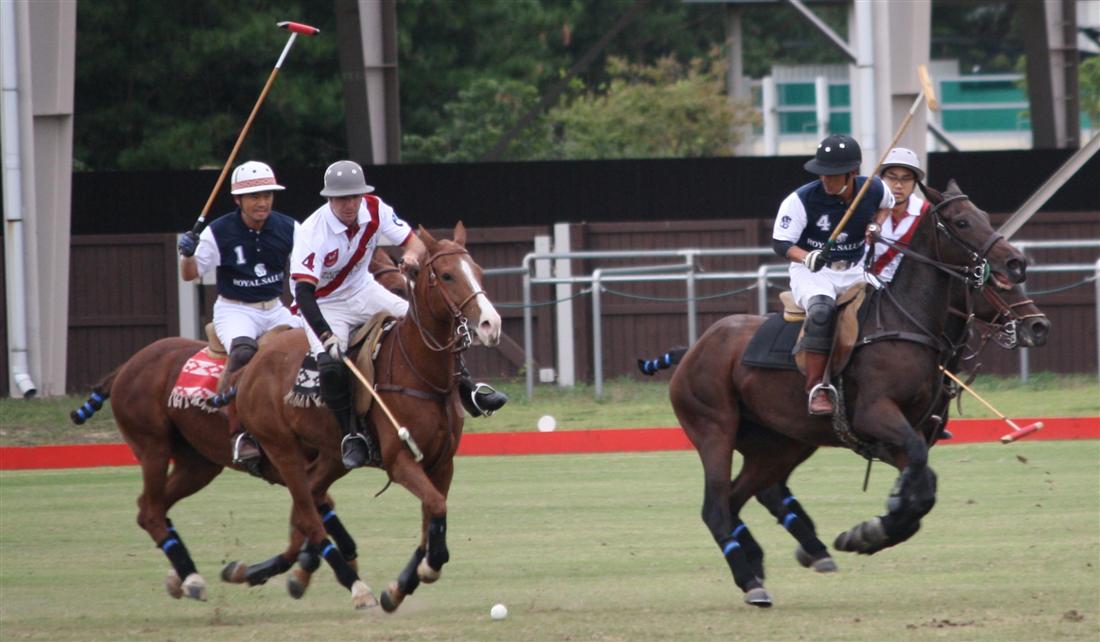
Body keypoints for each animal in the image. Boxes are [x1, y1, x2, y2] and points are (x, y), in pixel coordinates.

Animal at [68, 251, 410, 601]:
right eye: (397, 287)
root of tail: (125, 366)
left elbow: (314, 516)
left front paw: (302, 569)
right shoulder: (297, 463)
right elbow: (313, 514)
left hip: (198, 463)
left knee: (152, 506)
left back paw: (180, 575)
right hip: (152, 446)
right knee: (150, 509)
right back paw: (191, 577)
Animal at [230, 222, 501, 610]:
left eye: (477, 271)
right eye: (447, 275)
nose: (491, 325)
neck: (421, 373)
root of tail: (255, 360)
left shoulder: (442, 462)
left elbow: (432, 520)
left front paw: (400, 586)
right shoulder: (399, 459)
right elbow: (435, 511)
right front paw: (423, 571)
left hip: (331, 456)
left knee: (311, 500)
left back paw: (269, 570)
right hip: (281, 448)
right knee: (308, 507)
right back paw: (352, 585)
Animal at [669, 180, 1029, 606]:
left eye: (984, 216)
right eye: (961, 222)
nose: (1015, 263)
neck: (906, 322)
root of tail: (692, 349)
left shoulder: (905, 434)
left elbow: (923, 491)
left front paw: (868, 532)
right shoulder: (876, 415)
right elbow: (919, 482)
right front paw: (873, 527)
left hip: (778, 444)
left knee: (739, 497)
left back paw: (763, 562)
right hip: (714, 429)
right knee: (715, 508)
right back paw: (752, 582)